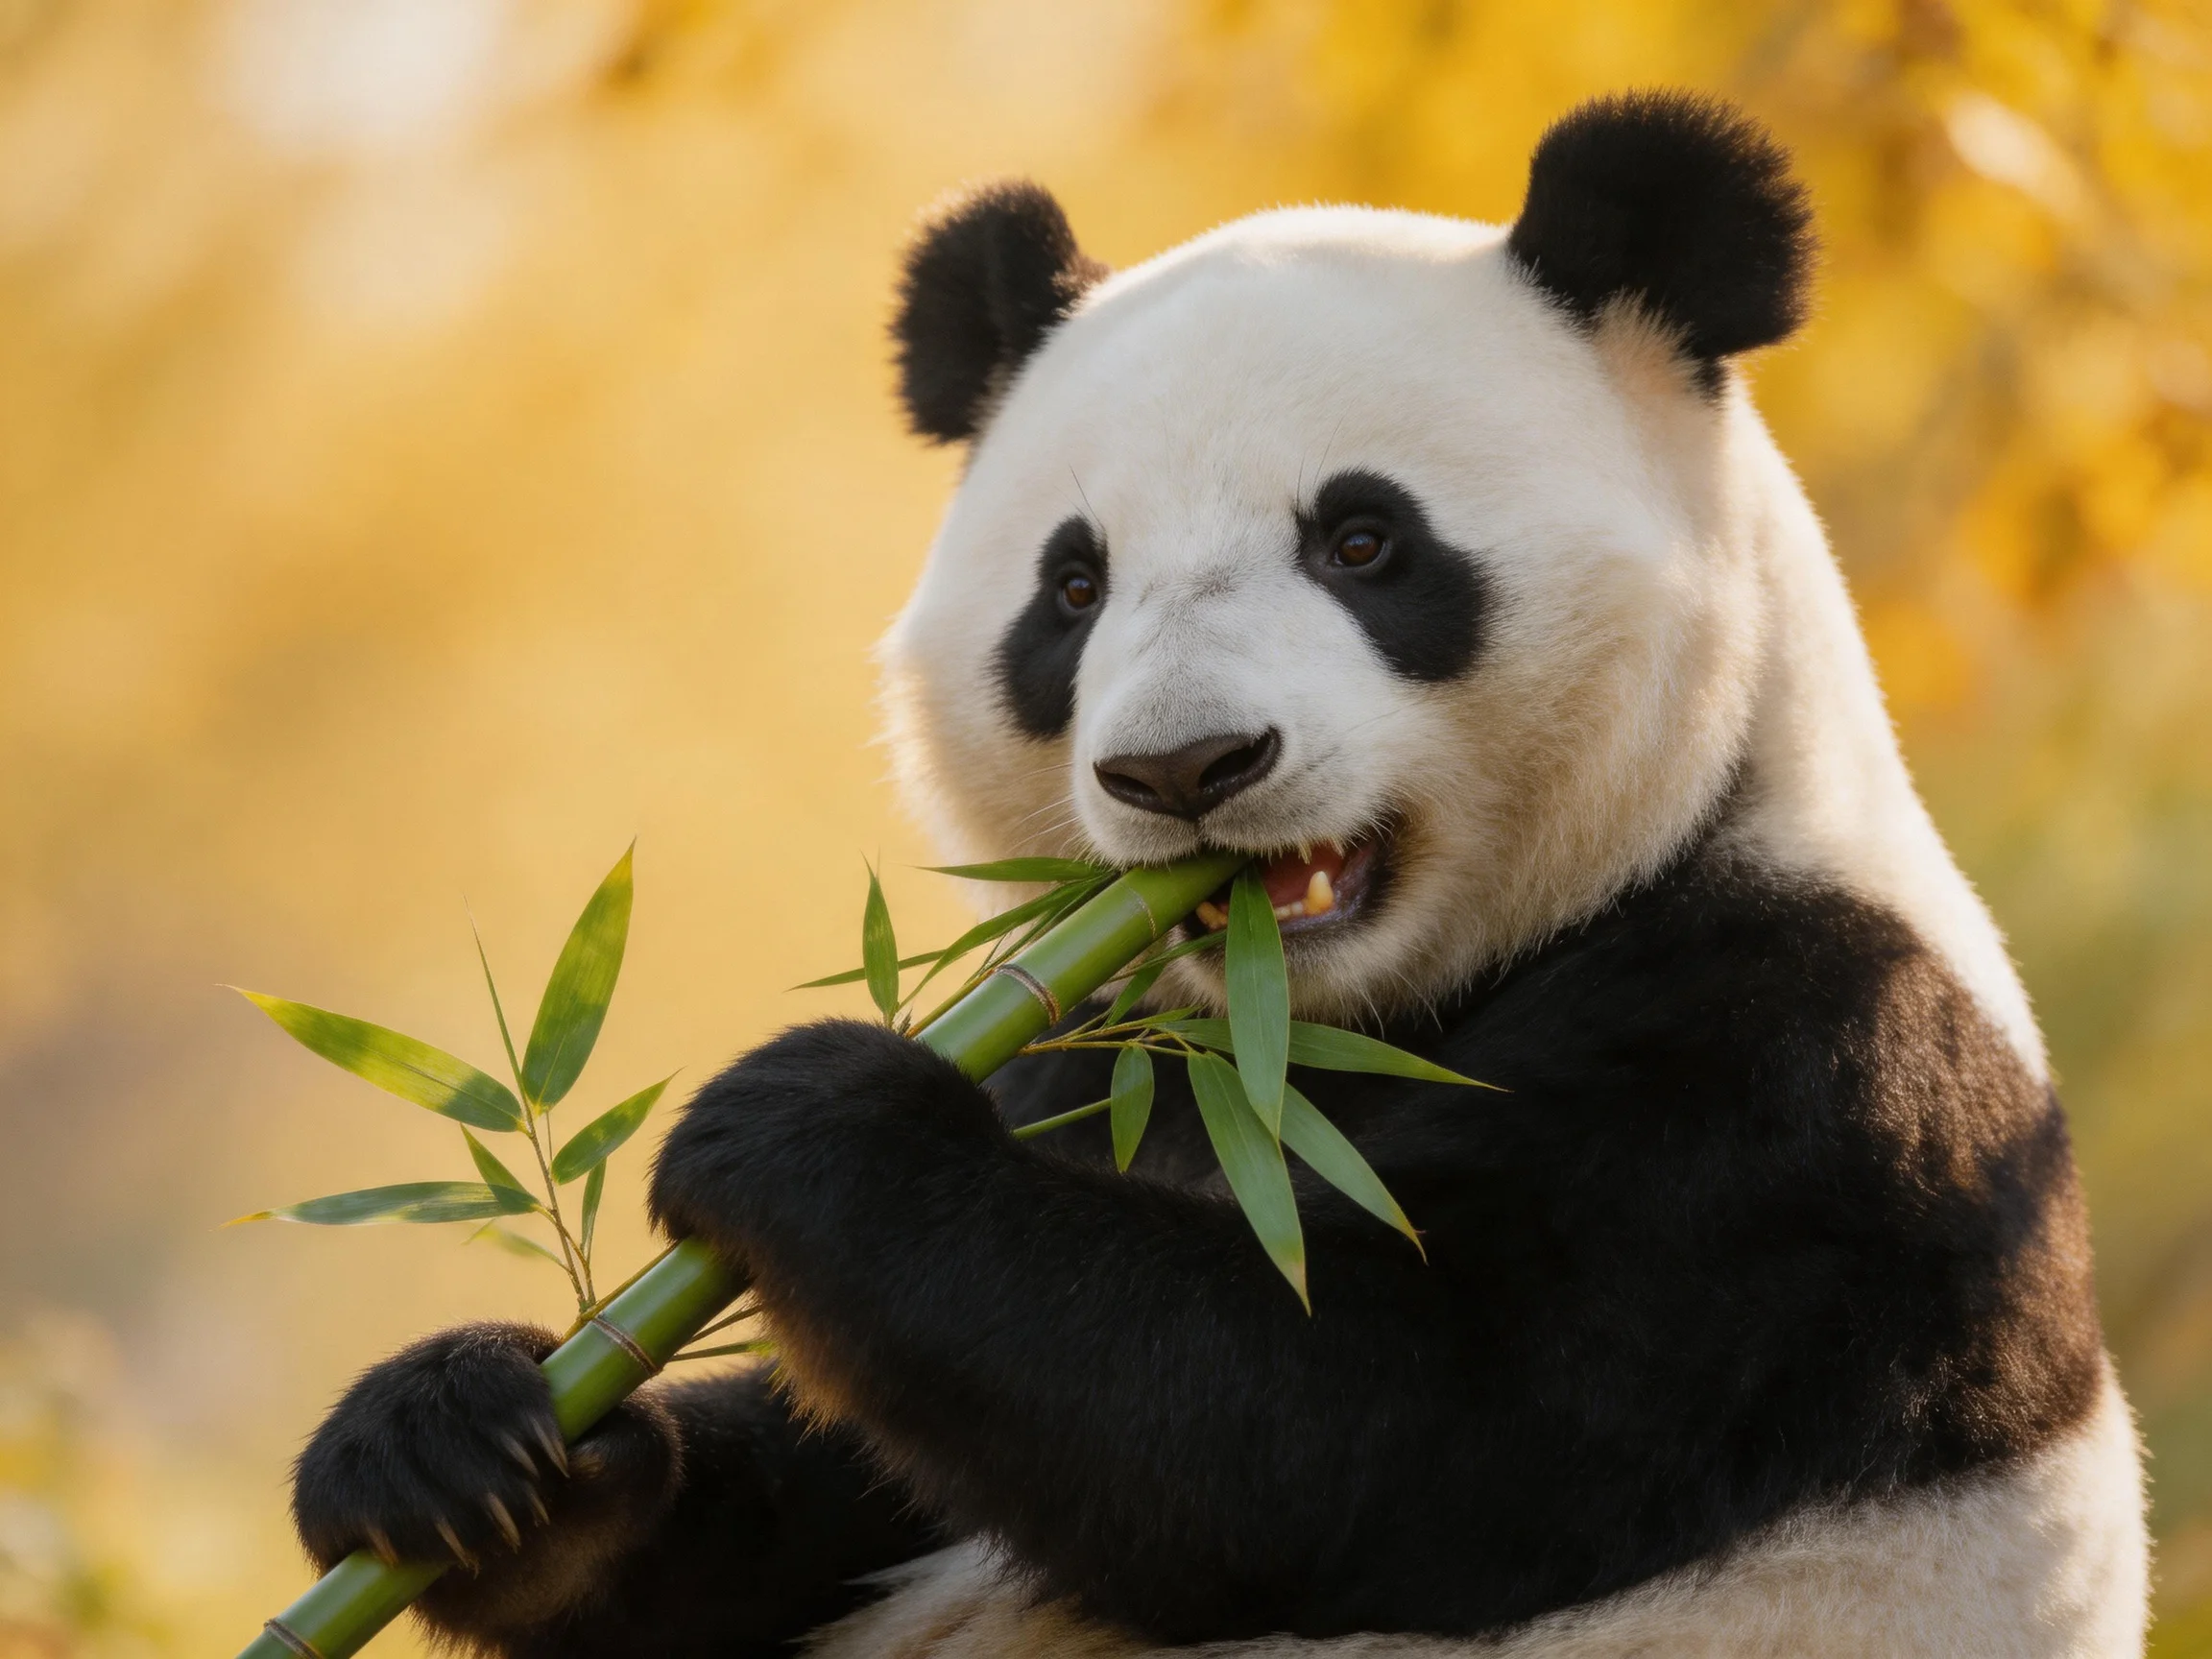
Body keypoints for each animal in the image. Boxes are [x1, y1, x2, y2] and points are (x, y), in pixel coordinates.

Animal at [291, 92, 2148, 1658]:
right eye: (1071, 588)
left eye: (1363, 540)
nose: (1183, 773)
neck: (1306, 1027)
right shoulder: (1083, 1054)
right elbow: (850, 1478)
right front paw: (462, 1451)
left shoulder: (1793, 1096)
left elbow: (1347, 1431)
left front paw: (802, 1124)